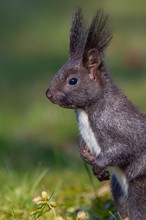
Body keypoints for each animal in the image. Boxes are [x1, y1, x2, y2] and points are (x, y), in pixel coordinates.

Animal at [46, 8, 146, 220]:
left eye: (73, 80)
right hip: (117, 189)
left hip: (139, 188)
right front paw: (85, 155)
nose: (48, 94)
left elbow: (124, 147)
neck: (86, 111)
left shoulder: (121, 124)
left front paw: (99, 165)